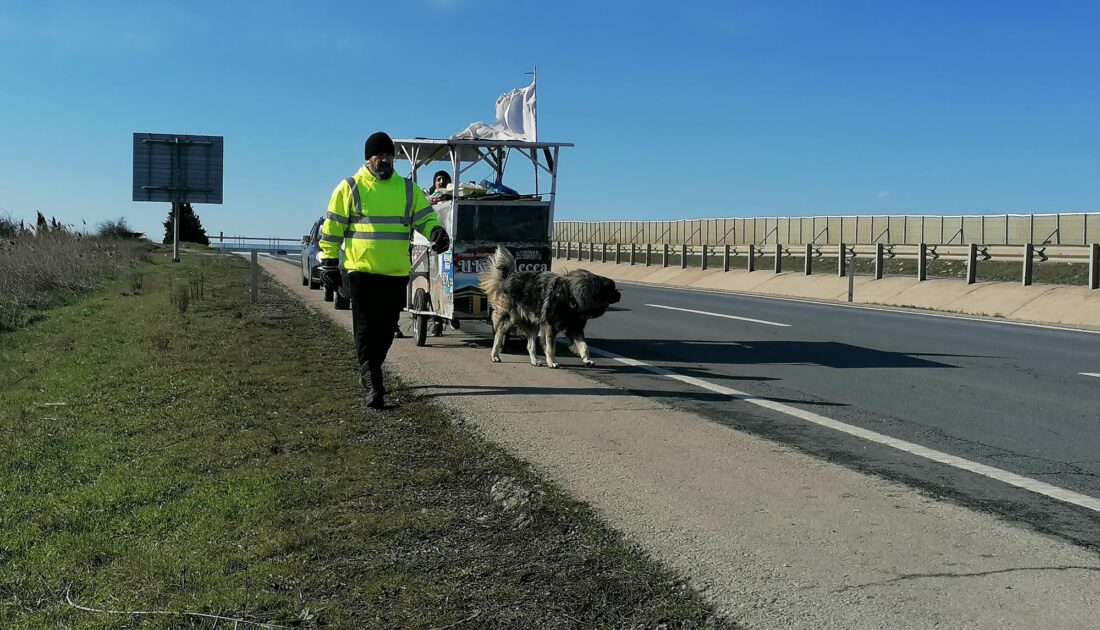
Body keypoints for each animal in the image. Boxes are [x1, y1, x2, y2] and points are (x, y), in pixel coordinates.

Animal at [479, 242, 624, 365]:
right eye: (612, 289)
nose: (620, 294)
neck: (571, 297)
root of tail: (508, 278)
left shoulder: (575, 328)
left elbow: (584, 345)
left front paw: (587, 359)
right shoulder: (550, 327)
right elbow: (550, 347)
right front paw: (552, 362)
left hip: (532, 322)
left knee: (530, 345)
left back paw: (535, 360)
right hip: (509, 317)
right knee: (498, 335)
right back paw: (495, 355)